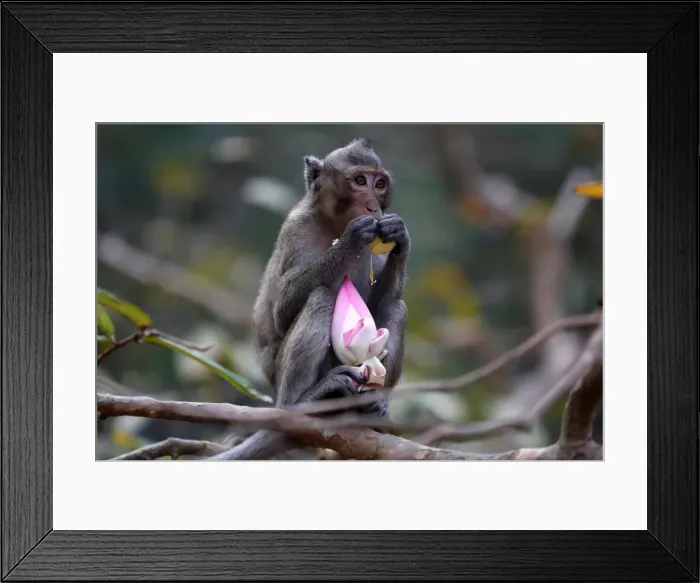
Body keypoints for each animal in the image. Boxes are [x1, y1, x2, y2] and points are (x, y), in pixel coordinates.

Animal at [209, 137, 410, 460]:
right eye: (359, 181)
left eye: (379, 184)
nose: (373, 205)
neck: (334, 224)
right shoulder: (296, 229)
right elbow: (282, 310)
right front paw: (351, 239)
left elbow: (384, 301)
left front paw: (400, 235)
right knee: (319, 298)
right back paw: (306, 403)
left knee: (396, 307)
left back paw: (370, 405)